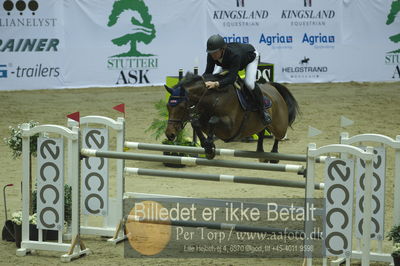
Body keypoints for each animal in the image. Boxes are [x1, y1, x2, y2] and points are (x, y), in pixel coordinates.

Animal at [163, 71, 300, 161]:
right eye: (168, 106)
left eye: (181, 107)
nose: (170, 134)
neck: (214, 98)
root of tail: (273, 87)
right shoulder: (203, 119)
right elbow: (195, 123)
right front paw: (207, 147)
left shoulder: (230, 129)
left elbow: (213, 120)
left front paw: (209, 144)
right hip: (261, 125)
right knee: (262, 131)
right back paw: (260, 151)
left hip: (279, 126)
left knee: (279, 136)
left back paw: (274, 154)